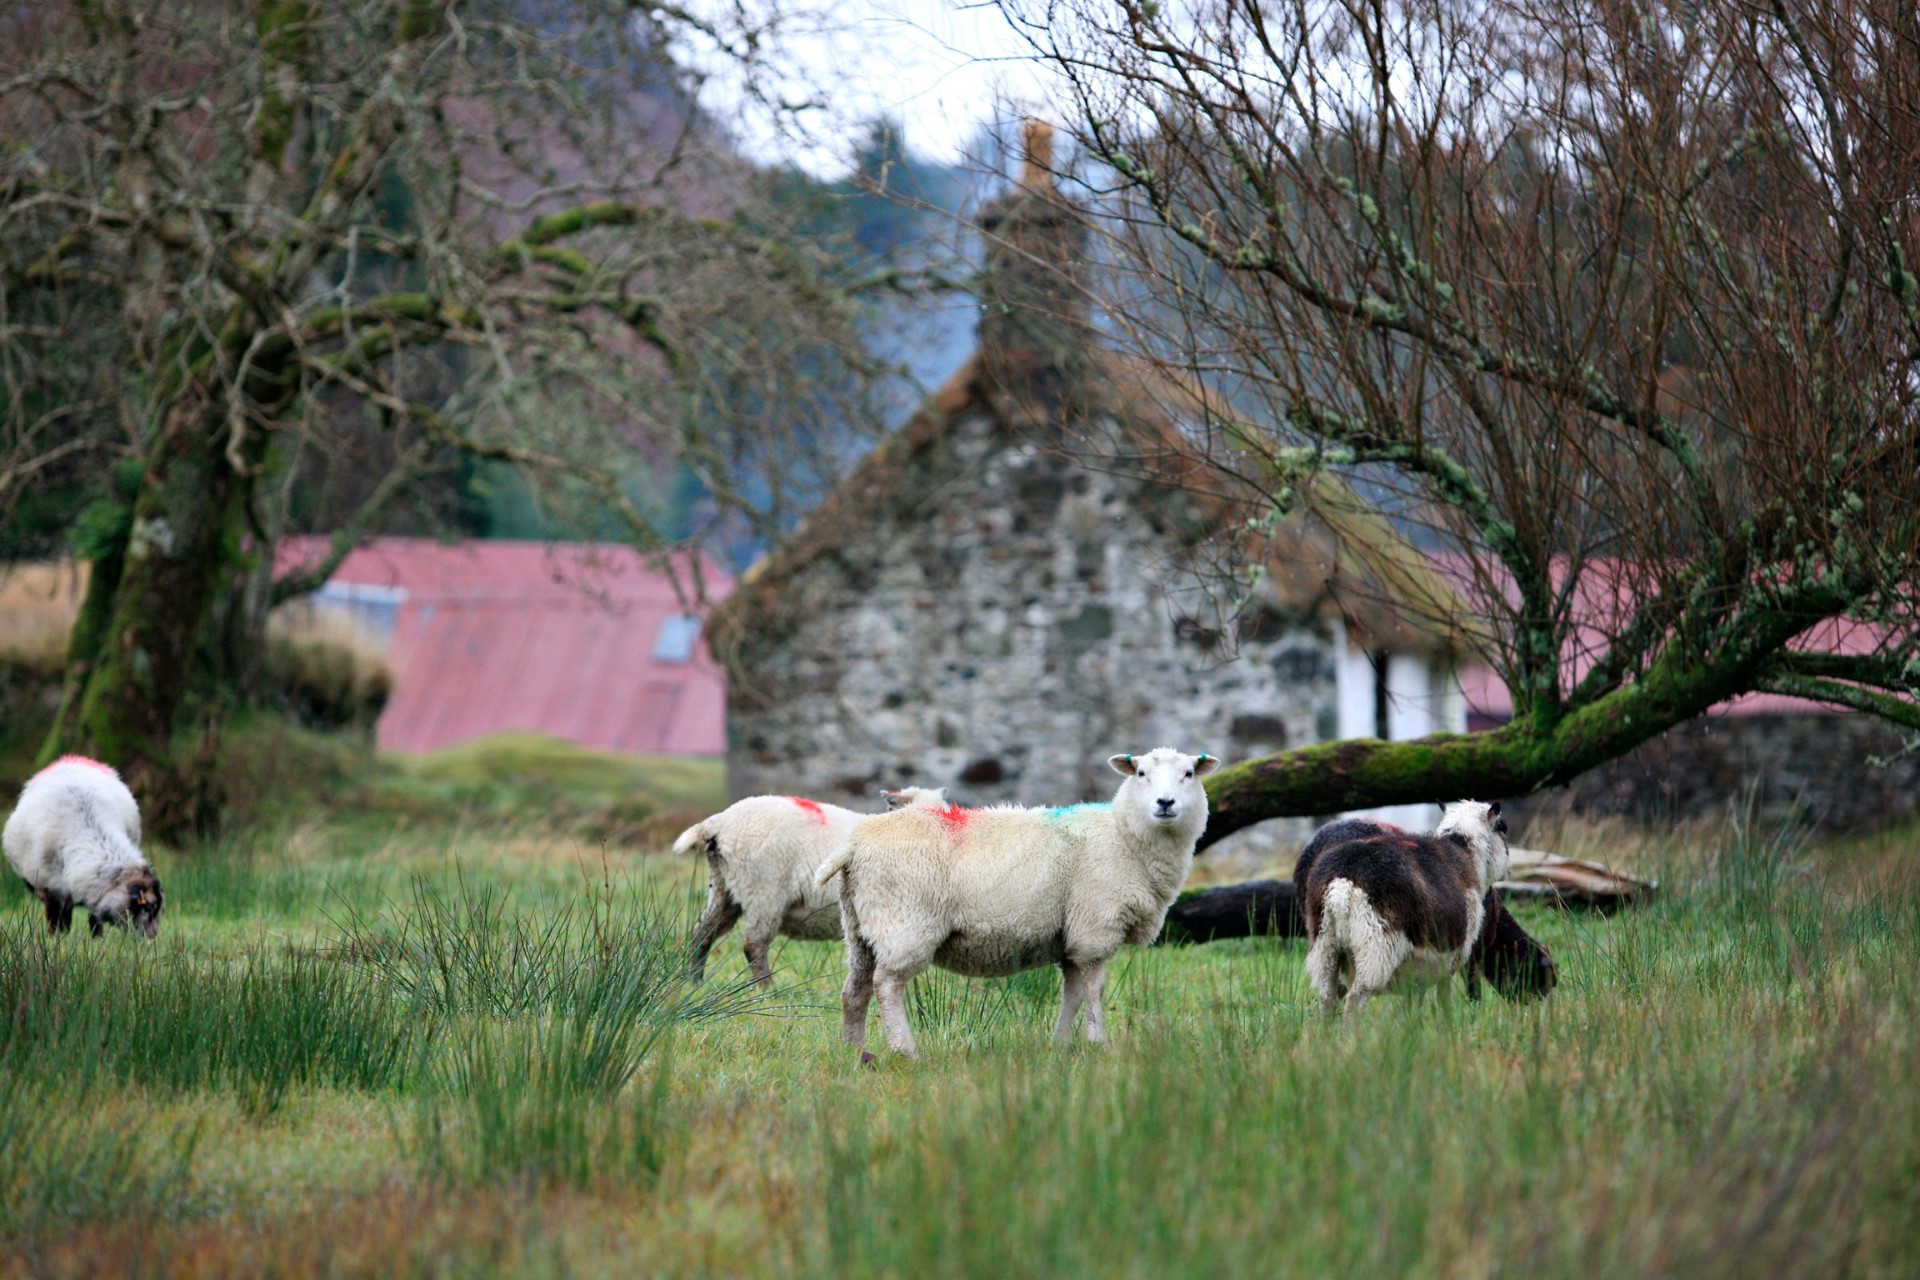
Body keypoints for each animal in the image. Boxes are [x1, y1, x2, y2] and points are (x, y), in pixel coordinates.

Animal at [5, 752, 163, 940]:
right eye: (147, 907)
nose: (152, 937)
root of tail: (71, 758)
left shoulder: (94, 891)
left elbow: (94, 919)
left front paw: (97, 940)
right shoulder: (49, 889)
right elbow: (55, 919)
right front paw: (55, 939)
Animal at [675, 786, 952, 990]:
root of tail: (719, 822)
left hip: (724, 887)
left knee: (703, 932)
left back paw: (694, 982)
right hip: (763, 889)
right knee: (753, 944)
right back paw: (768, 991)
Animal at [810, 744, 1213, 1059]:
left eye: (1189, 773)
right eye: (1142, 773)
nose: (1165, 803)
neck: (1125, 837)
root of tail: (855, 842)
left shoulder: (1071, 937)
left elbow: (1072, 994)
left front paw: (1061, 1045)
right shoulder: (1095, 928)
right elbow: (1094, 990)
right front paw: (1099, 1043)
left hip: (859, 927)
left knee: (854, 990)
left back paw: (855, 1052)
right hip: (904, 921)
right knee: (887, 984)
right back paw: (906, 1051)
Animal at [1297, 802, 1520, 1020]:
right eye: (1503, 828)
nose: (1510, 870)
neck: (1468, 854)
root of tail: (1342, 884)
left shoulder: (1416, 967)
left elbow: (1413, 1001)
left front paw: (1411, 1026)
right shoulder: (1452, 955)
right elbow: (1444, 998)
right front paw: (1447, 1026)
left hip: (1325, 944)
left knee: (1327, 997)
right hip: (1375, 943)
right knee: (1355, 998)